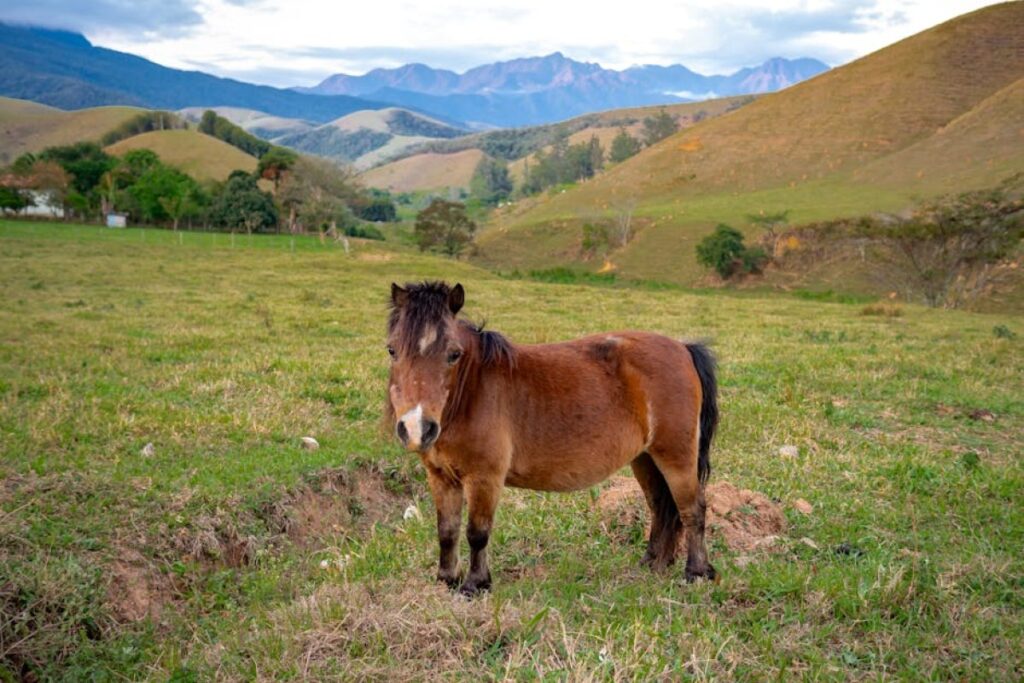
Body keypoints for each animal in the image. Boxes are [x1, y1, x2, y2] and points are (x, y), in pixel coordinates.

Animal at [385, 281, 718, 596]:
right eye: (392, 350)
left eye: (453, 354)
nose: (417, 427)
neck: (473, 391)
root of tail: (682, 347)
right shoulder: (441, 477)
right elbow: (447, 531)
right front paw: (446, 580)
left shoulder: (484, 478)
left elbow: (477, 533)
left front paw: (475, 584)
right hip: (645, 459)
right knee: (660, 506)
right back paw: (652, 563)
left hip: (676, 457)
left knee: (692, 509)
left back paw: (696, 572)